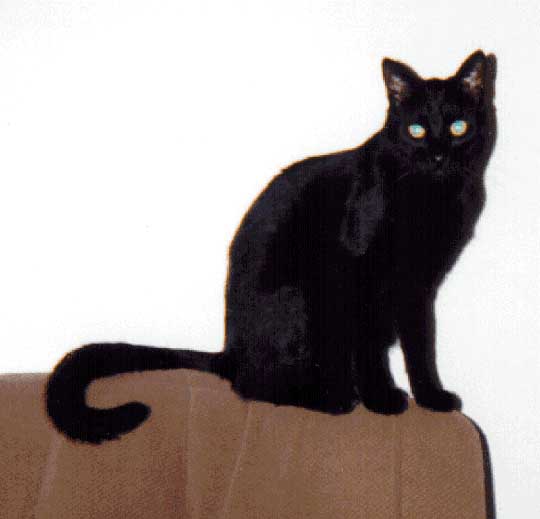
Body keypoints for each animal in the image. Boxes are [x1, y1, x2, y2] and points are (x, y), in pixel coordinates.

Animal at [46, 50, 497, 444]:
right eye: (416, 130)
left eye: (458, 127)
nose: (437, 156)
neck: (430, 196)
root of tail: (229, 351)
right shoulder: (359, 275)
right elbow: (370, 349)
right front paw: (382, 399)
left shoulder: (418, 287)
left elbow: (421, 348)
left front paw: (432, 398)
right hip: (304, 298)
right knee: (255, 385)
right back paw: (336, 398)